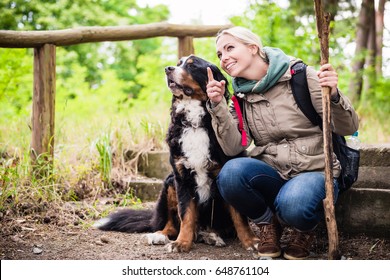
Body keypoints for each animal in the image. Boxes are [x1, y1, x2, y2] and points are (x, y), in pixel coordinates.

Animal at [95, 55, 258, 254]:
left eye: (192, 66)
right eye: (178, 63)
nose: (168, 69)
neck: (195, 124)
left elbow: (239, 216)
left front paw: (251, 241)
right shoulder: (182, 177)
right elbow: (186, 215)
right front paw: (182, 243)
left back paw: (211, 235)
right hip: (169, 182)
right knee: (172, 225)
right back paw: (160, 235)